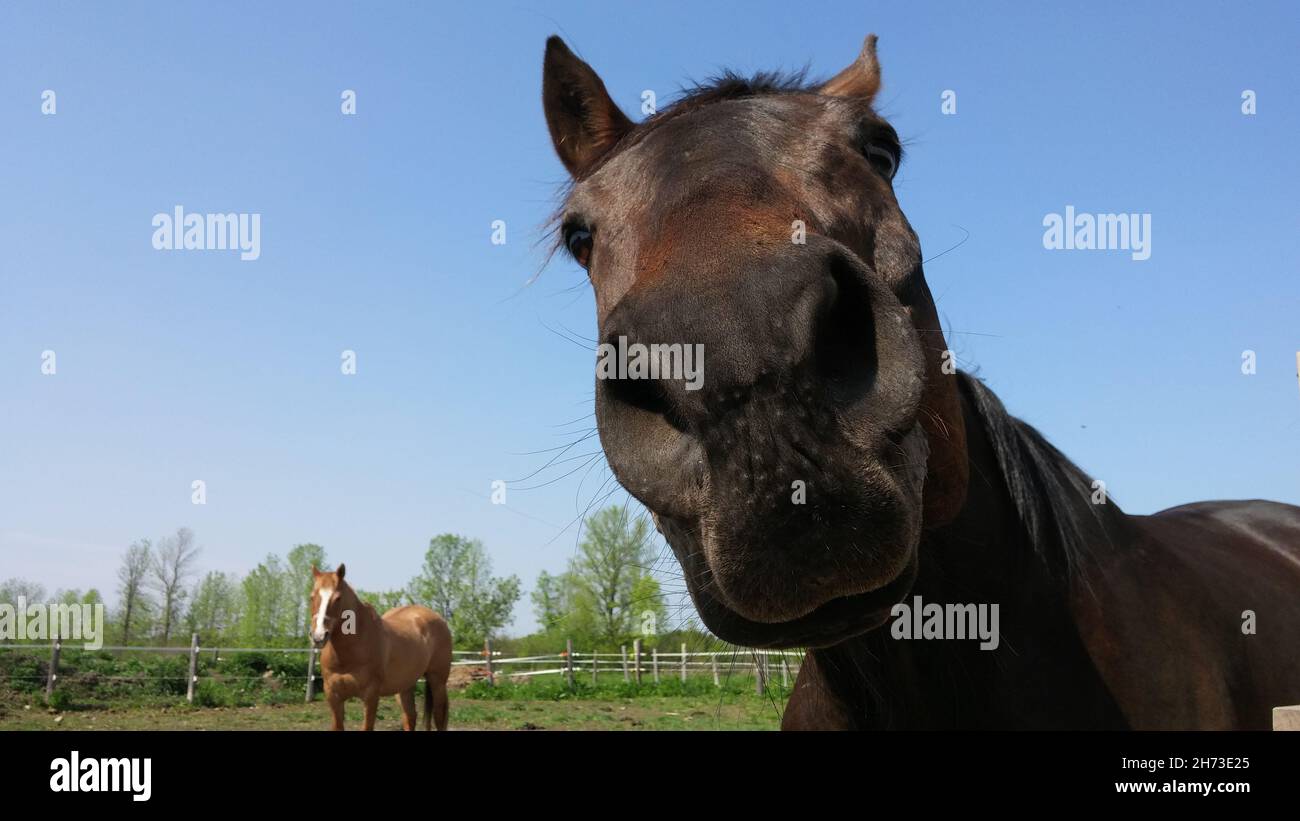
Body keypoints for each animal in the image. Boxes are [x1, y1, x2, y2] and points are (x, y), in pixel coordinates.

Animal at [309, 563, 452, 732]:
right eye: (312, 596)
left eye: (338, 598)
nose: (318, 636)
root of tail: (439, 620)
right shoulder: (333, 696)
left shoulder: (370, 696)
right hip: (405, 686)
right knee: (410, 717)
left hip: (438, 681)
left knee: (439, 717)